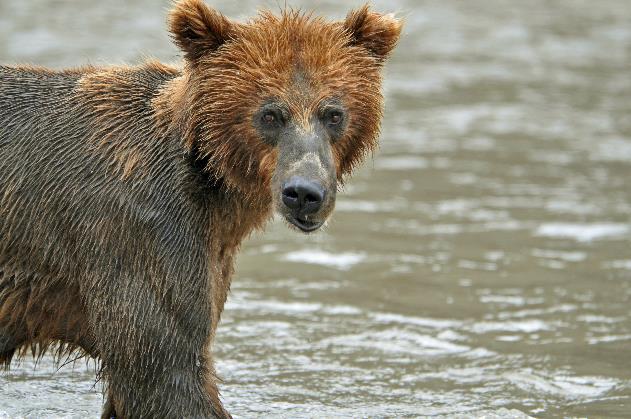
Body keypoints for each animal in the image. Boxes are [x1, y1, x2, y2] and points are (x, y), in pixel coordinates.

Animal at [0, 1, 404, 418]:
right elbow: (166, 371)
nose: (304, 192)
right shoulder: (140, 233)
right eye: (270, 114)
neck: (213, 183)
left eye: (334, 113)